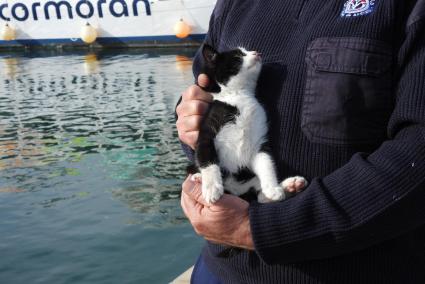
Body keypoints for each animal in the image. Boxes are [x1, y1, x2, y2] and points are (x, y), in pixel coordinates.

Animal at [190, 44, 304, 203]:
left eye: (246, 52)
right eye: (238, 56)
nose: (256, 52)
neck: (240, 95)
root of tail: (237, 192)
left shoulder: (259, 141)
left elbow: (266, 163)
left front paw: (273, 188)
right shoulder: (206, 133)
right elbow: (207, 160)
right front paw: (212, 188)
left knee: (260, 197)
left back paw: (290, 186)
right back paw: (199, 178)